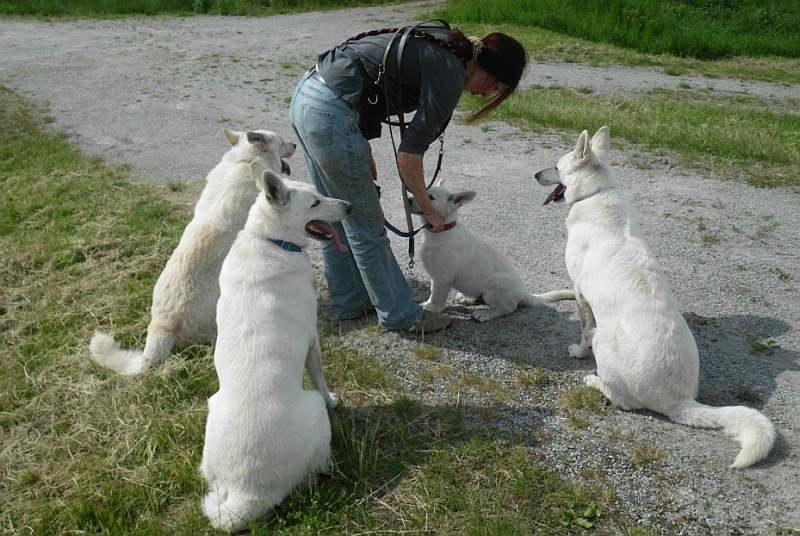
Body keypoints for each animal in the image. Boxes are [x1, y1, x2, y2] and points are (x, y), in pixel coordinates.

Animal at [200, 164, 350, 532]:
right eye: (315, 202)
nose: (350, 207)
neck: (268, 239)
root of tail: (247, 491)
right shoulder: (313, 340)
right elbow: (321, 379)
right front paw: (334, 399)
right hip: (313, 411)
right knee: (319, 468)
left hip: (211, 420)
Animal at [410, 182, 572, 320]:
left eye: (430, 197)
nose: (409, 199)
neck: (440, 231)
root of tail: (523, 292)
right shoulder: (435, 276)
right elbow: (432, 292)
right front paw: (428, 304)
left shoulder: (443, 278)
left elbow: (437, 296)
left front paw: (432, 309)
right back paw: (466, 298)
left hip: (493, 289)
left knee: (507, 308)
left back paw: (485, 314)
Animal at [536, 126, 776, 468]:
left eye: (556, 167)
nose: (534, 175)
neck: (596, 192)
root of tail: (679, 400)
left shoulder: (582, 294)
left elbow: (582, 330)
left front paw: (578, 353)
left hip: (603, 339)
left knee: (624, 401)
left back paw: (594, 381)